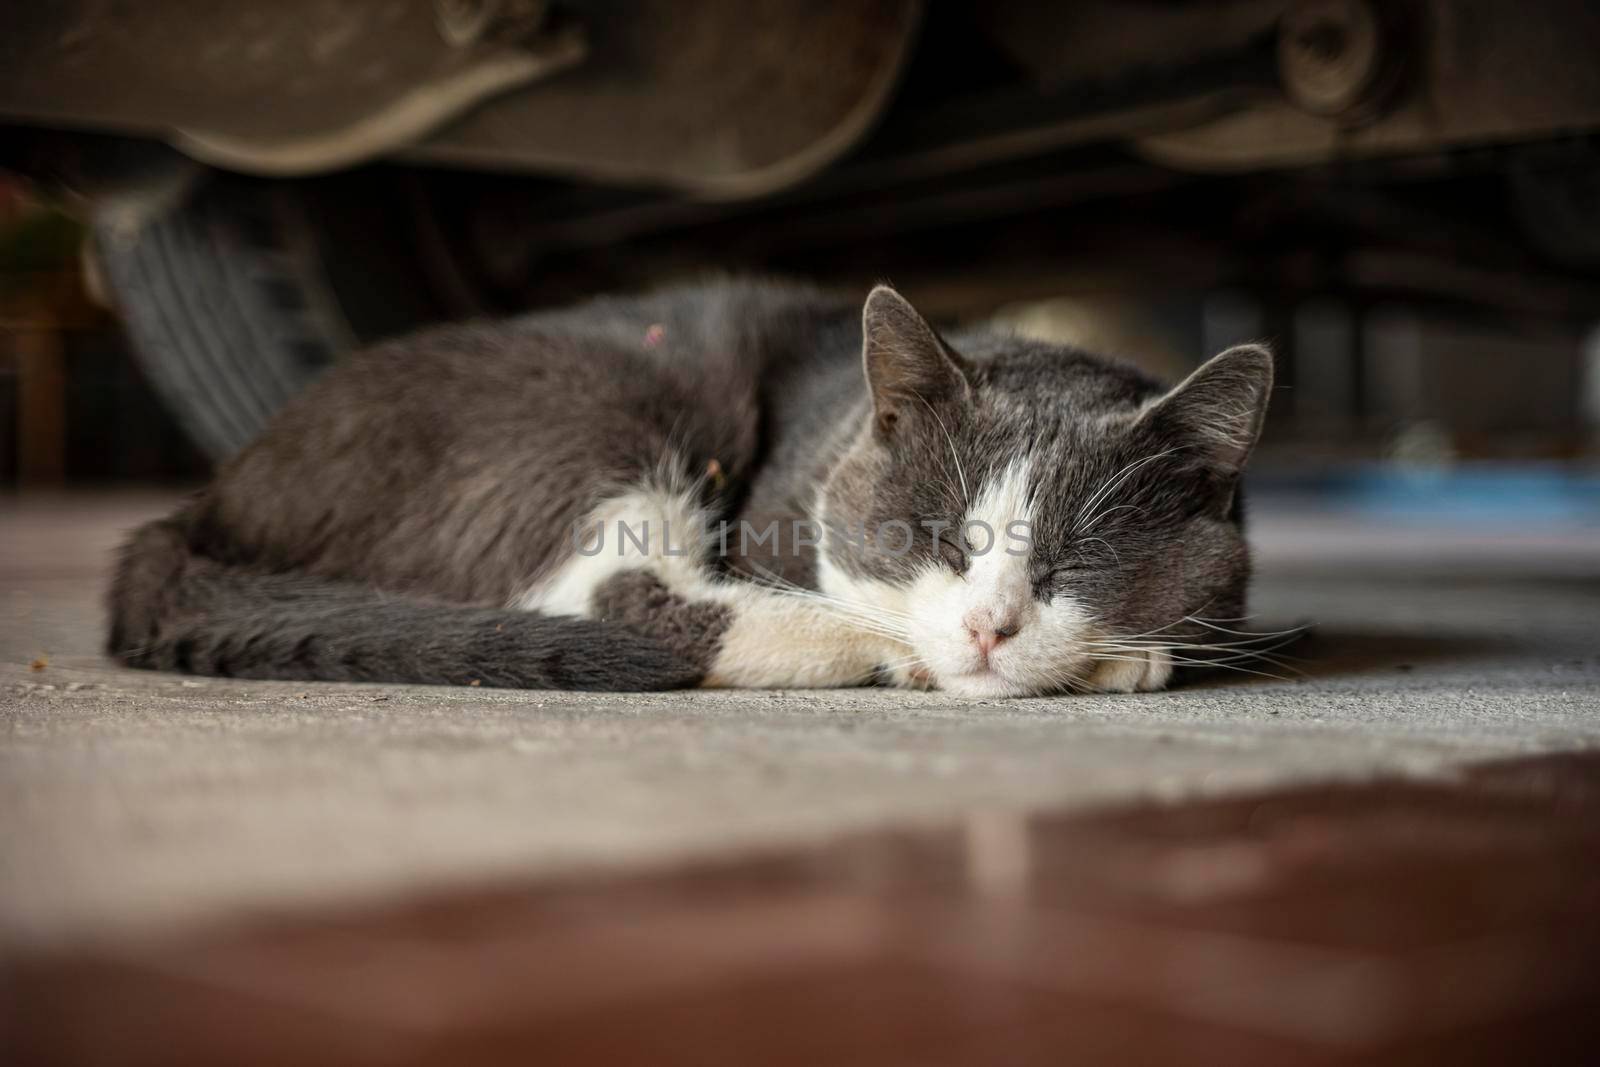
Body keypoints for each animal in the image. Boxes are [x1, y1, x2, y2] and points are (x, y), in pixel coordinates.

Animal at [109, 281, 1273, 700]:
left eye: (1077, 558)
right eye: (934, 534)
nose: (989, 626)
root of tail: (216, 494)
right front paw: (1121, 654)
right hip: (601, 399)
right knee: (628, 599)